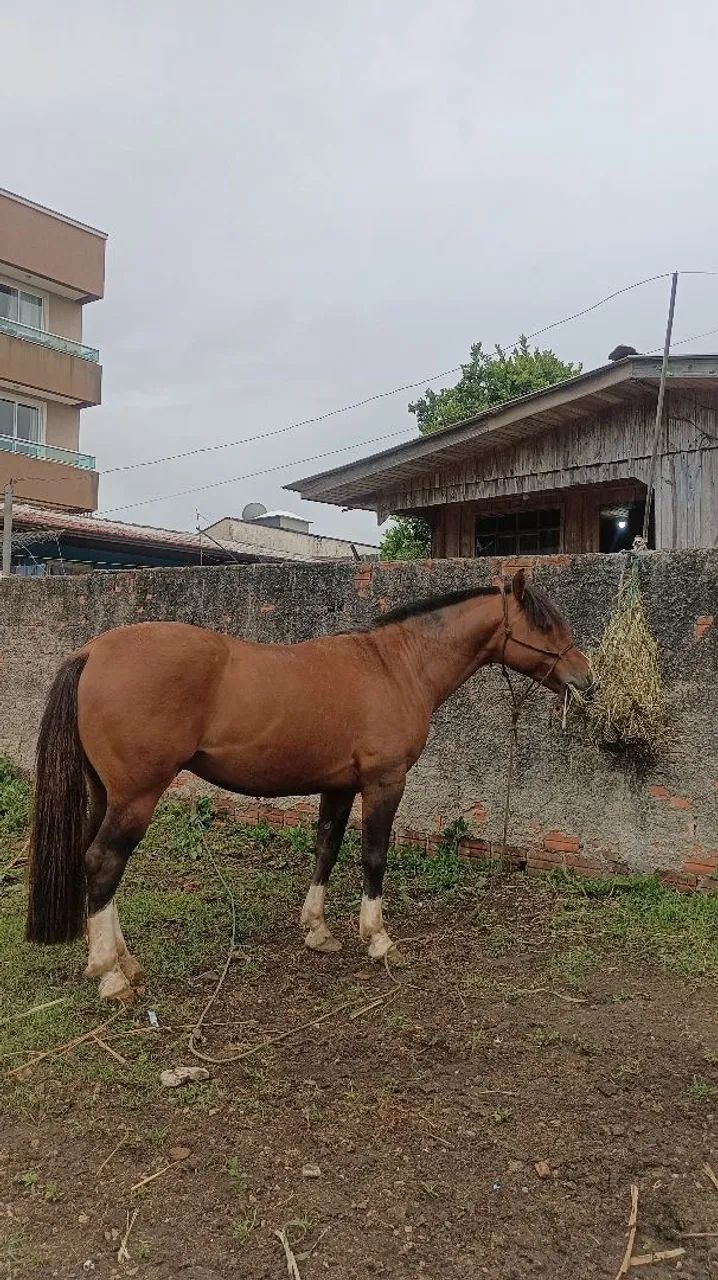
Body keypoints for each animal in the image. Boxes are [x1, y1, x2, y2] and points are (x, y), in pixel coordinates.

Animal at [26, 569, 591, 1001]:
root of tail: (93, 651)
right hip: (137, 797)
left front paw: (317, 930)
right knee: (104, 863)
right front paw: (377, 938)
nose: (585, 678)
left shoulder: (338, 786)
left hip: (108, 794)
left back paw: (124, 963)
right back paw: (112, 976)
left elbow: (326, 849)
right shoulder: (384, 782)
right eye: (543, 623)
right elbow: (373, 856)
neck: (396, 666)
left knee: (96, 864)